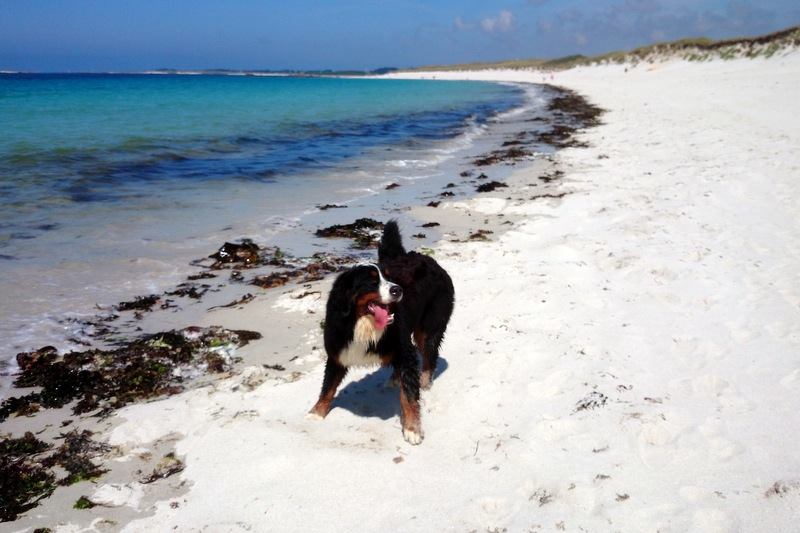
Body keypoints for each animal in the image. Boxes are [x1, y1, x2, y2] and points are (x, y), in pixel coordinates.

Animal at [306, 220, 454, 444]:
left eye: (390, 279)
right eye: (372, 281)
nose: (398, 290)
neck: (362, 324)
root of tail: (429, 260)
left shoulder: (405, 349)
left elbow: (409, 396)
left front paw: (412, 428)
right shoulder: (338, 350)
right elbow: (328, 386)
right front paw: (316, 412)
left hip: (428, 328)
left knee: (430, 355)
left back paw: (424, 380)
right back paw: (395, 378)